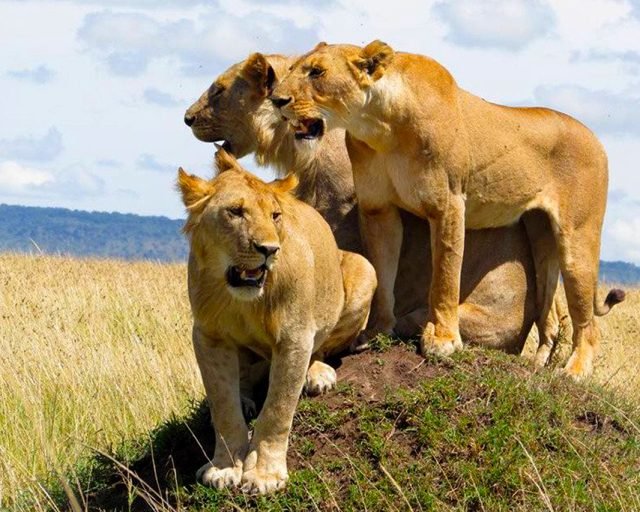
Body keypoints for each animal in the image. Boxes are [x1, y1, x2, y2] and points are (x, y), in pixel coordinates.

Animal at [177, 148, 376, 494]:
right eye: (235, 212)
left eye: (275, 216)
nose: (269, 249)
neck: (243, 299)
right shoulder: (208, 337)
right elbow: (223, 405)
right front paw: (225, 467)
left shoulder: (294, 337)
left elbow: (278, 408)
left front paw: (264, 475)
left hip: (364, 269)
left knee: (322, 349)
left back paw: (318, 375)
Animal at [271, 40, 625, 377]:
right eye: (293, 69)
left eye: (317, 72)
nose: (276, 100)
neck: (379, 125)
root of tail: (596, 138)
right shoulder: (379, 209)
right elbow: (383, 275)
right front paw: (376, 331)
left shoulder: (447, 204)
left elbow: (445, 275)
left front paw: (442, 340)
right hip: (540, 238)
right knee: (548, 313)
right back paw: (537, 366)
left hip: (577, 239)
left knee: (587, 323)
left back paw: (576, 372)